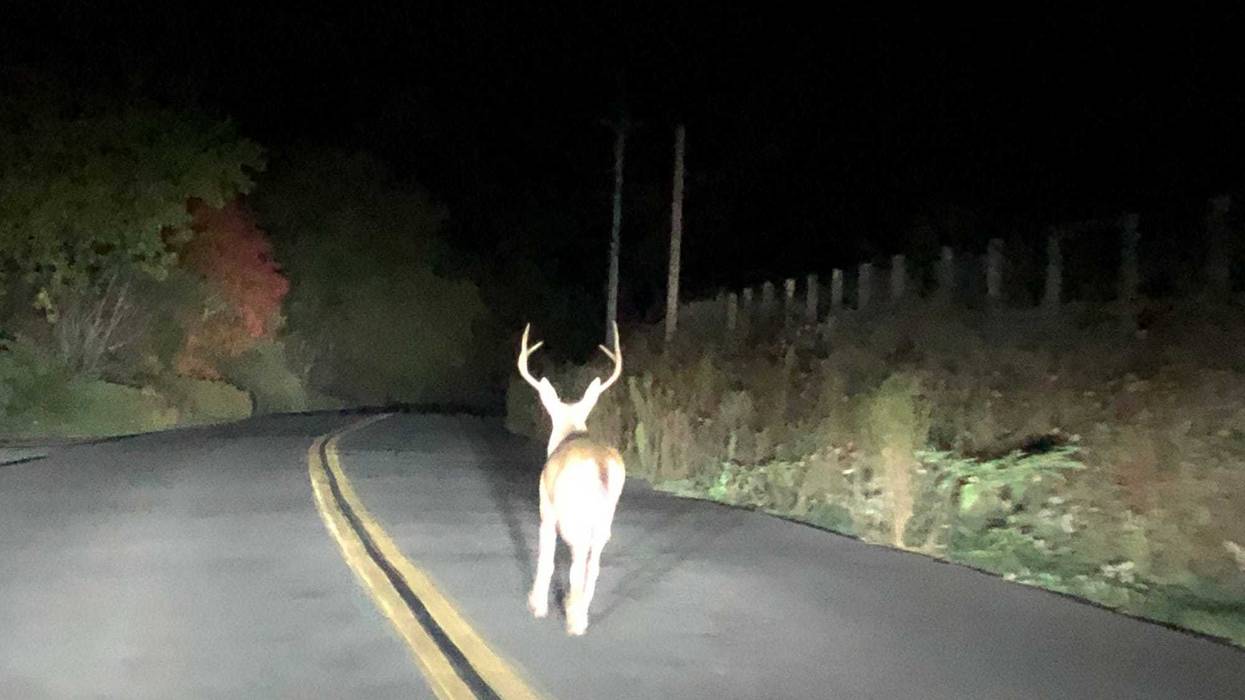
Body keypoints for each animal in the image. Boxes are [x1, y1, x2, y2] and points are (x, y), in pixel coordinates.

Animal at [517, 322, 625, 636]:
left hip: (574, 510)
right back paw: (580, 613)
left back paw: (573, 618)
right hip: (606, 512)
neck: (572, 432)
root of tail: (600, 464)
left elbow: (547, 557)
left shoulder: (546, 507)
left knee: (579, 555)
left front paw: (536, 605)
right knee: (595, 559)